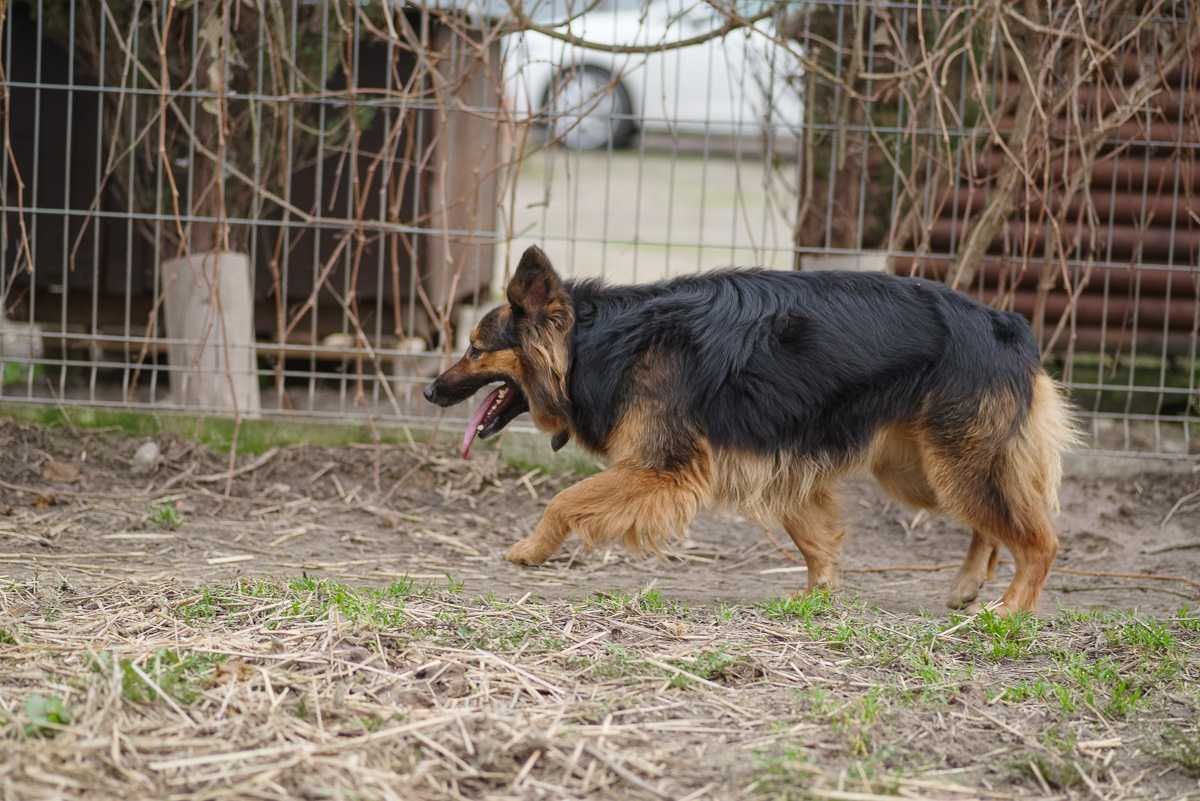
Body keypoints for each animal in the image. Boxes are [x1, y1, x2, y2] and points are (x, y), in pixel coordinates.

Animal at [424, 244, 1080, 613]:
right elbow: (814, 538)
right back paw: (968, 586)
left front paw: (530, 550)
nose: (429, 391)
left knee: (1038, 540)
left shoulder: (662, 470)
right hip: (921, 469)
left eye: (475, 347)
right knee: (992, 524)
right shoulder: (781, 467)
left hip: (953, 462)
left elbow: (566, 498)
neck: (593, 343)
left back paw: (1011, 609)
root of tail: (1006, 324)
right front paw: (817, 595)